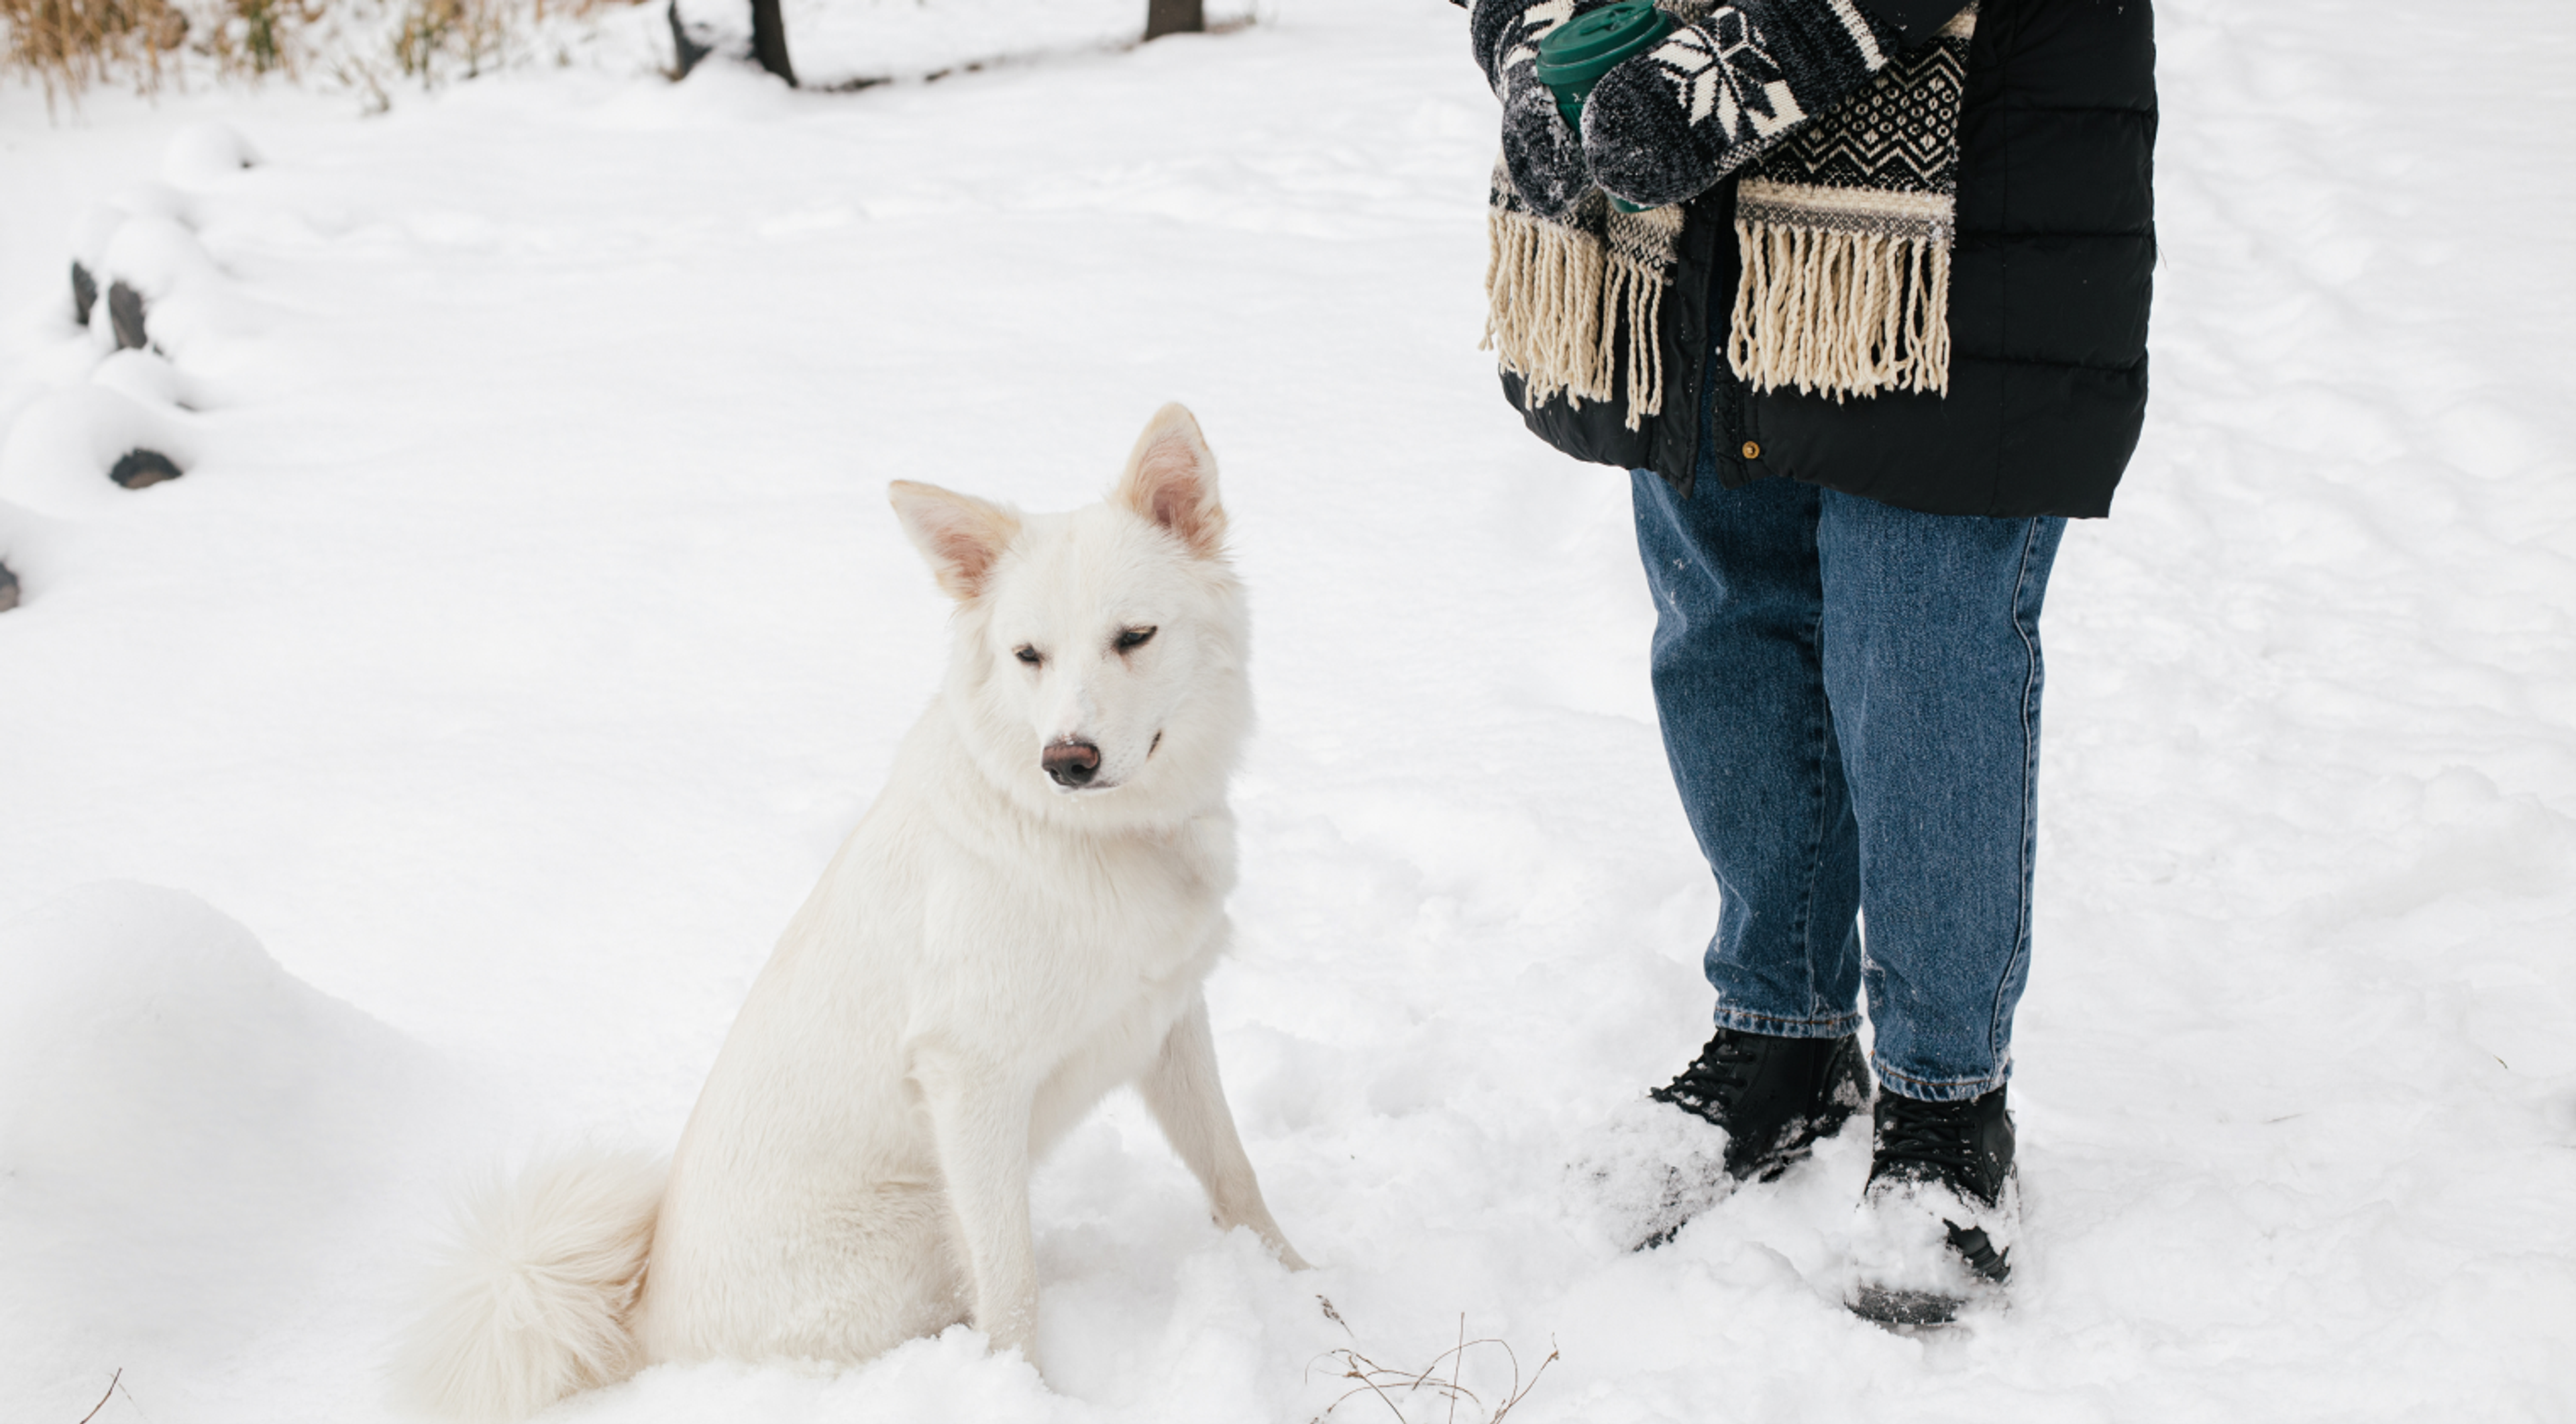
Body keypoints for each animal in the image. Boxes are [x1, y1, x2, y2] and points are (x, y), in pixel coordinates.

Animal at [402, 404, 1308, 1411]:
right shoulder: (971, 1077)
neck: (1093, 835)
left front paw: (1307, 1292)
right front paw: (1022, 1392)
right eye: (1028, 655)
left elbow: (1233, 1170)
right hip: (920, 1220)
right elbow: (1012, 1284)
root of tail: (637, 1330)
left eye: (1135, 635)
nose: (1066, 761)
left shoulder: (1168, 1018)